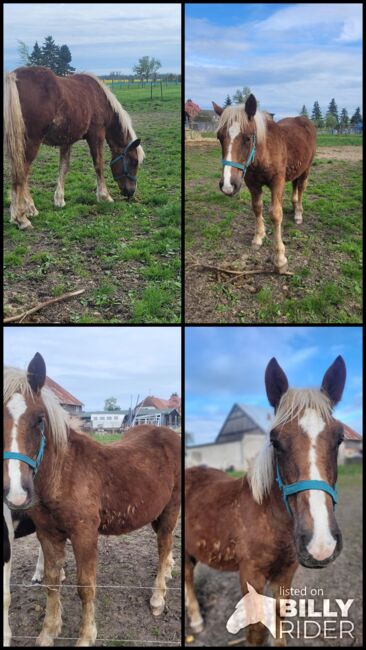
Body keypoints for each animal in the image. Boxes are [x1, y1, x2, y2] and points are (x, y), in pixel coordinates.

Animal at [2, 352, 180, 644]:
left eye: (39, 419)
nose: (16, 493)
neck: (64, 474)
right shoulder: (48, 534)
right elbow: (52, 581)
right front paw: (49, 632)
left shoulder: (85, 535)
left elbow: (86, 587)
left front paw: (86, 636)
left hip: (170, 509)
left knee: (164, 545)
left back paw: (157, 598)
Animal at [4, 67, 145, 229]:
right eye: (134, 161)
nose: (131, 192)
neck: (99, 98)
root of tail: (13, 76)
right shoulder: (96, 134)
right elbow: (98, 165)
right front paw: (104, 196)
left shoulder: (66, 141)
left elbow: (63, 168)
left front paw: (59, 200)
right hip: (31, 142)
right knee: (21, 173)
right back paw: (21, 217)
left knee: (21, 174)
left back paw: (30, 209)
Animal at [186, 354, 346, 644]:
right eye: (275, 440)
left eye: (339, 439)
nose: (321, 544)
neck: (269, 520)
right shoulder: (251, 576)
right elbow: (256, 632)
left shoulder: (286, 574)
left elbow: (280, 618)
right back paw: (196, 620)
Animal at [213, 93, 316, 270]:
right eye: (219, 137)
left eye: (247, 138)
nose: (227, 185)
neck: (263, 153)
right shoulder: (252, 184)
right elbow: (257, 207)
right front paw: (258, 236)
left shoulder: (277, 182)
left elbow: (275, 214)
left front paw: (280, 258)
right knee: (295, 188)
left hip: (306, 169)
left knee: (301, 188)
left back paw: (298, 213)